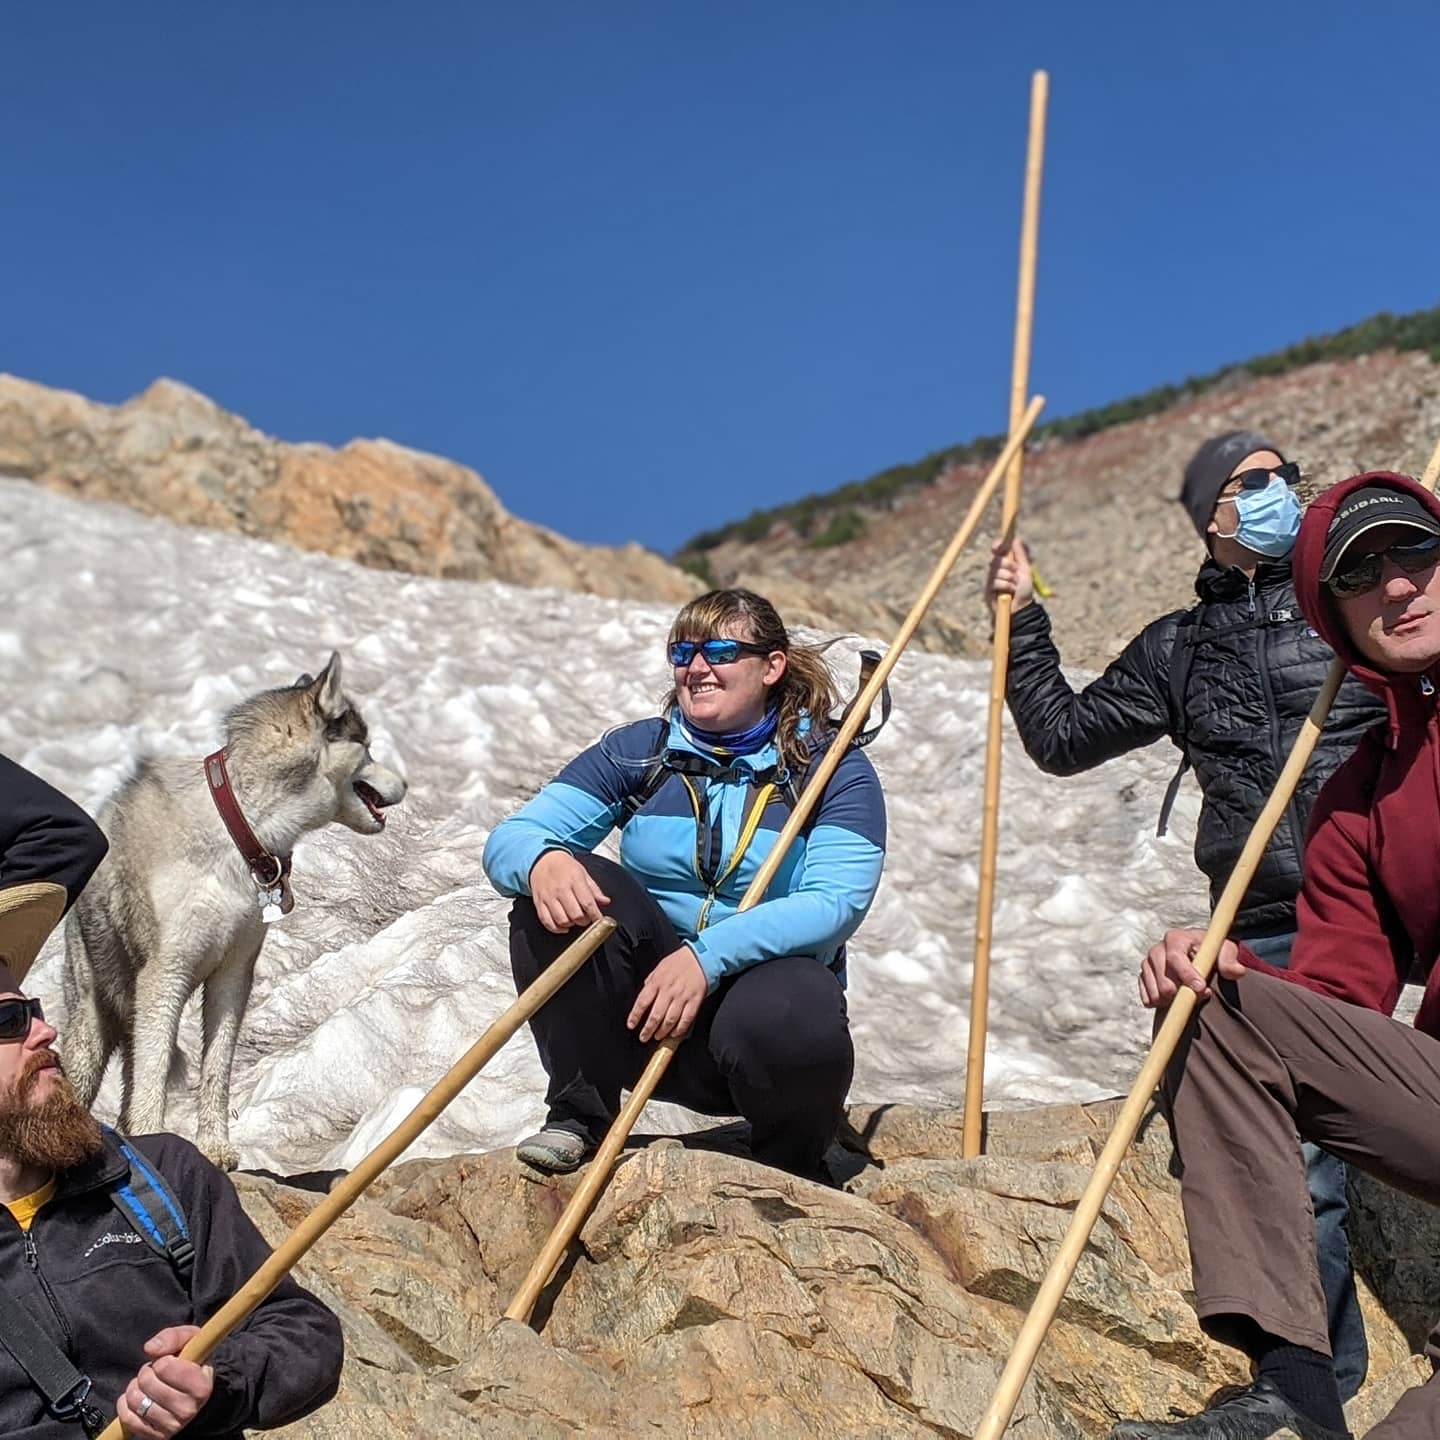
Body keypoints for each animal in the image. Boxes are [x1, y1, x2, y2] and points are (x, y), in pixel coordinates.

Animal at [61, 653, 406, 1169]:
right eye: (365, 746)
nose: (406, 784)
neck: (237, 826)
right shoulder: (164, 977)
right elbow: (155, 1076)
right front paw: (155, 1141)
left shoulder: (232, 974)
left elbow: (216, 1070)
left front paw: (213, 1148)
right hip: (94, 1017)